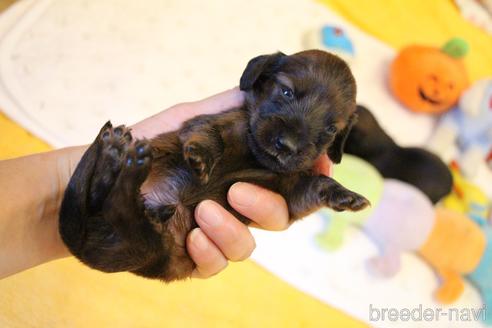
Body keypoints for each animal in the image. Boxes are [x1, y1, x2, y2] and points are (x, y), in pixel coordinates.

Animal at [58, 50, 368, 280]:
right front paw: (200, 156)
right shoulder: (213, 121)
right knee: (114, 204)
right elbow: (210, 136)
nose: (288, 146)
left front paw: (346, 195)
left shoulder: (291, 192)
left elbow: (316, 186)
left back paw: (115, 156)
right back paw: (118, 152)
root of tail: (81, 248)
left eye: (331, 129)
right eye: (286, 92)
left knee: (110, 202)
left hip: (144, 243)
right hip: (139, 242)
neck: (255, 155)